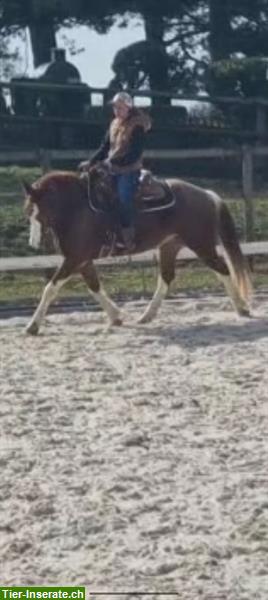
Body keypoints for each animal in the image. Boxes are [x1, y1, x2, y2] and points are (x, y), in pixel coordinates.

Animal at [22, 169, 251, 336]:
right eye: (29, 213)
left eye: (38, 212)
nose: (33, 245)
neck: (77, 210)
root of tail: (206, 194)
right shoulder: (83, 261)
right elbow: (94, 287)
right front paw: (116, 316)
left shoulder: (74, 259)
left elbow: (50, 289)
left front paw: (33, 326)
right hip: (169, 246)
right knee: (166, 277)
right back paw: (147, 315)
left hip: (201, 244)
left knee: (223, 269)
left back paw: (242, 308)